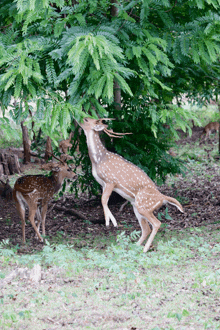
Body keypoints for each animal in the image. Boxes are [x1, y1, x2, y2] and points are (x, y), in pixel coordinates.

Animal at [79, 118, 184, 253]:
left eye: (86, 119)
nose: (77, 118)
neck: (98, 160)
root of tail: (162, 198)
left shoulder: (110, 180)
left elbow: (103, 200)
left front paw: (110, 222)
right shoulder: (103, 184)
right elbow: (104, 200)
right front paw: (111, 221)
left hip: (143, 206)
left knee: (157, 223)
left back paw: (145, 249)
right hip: (136, 206)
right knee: (146, 228)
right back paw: (135, 246)